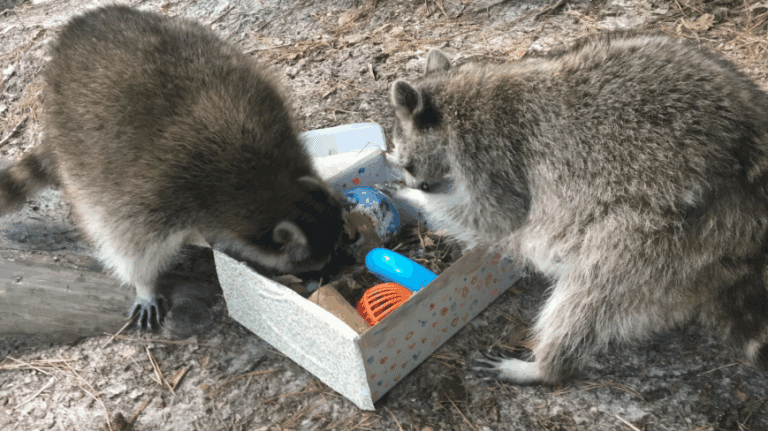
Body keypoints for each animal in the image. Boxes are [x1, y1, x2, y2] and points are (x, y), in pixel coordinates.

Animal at [0, 5, 347, 330]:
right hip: (75, 137)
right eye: (319, 264)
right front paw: (144, 285)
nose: (342, 271)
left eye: (339, 245)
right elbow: (129, 244)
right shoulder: (153, 195)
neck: (269, 183)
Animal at [386, 33, 768, 384]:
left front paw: (414, 198)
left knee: (593, 287)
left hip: (663, 228)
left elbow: (494, 216)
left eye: (408, 165)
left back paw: (546, 366)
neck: (453, 96)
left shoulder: (489, 155)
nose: (415, 182)